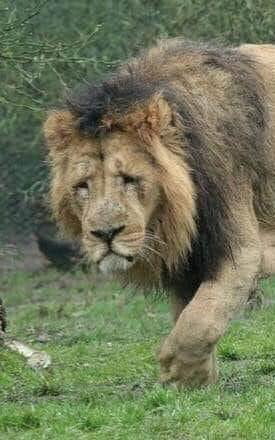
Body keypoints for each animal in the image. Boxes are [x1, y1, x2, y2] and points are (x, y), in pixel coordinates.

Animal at [43, 39, 275, 386]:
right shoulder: (187, 260)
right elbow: (188, 314)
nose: (105, 234)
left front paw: (176, 367)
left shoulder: (241, 248)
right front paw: (196, 380)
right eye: (82, 186)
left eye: (129, 179)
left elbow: (200, 320)